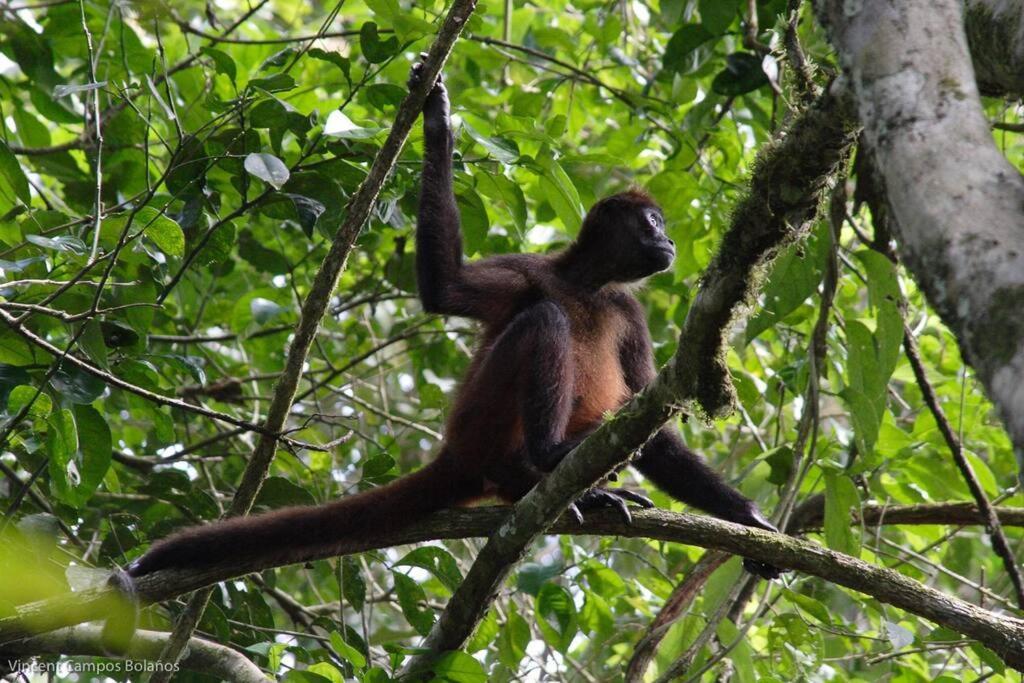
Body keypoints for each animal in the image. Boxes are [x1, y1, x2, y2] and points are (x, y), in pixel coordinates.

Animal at [125, 57, 782, 581]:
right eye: (653, 223)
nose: (667, 242)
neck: (586, 284)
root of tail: (455, 455)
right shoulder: (527, 270)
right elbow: (447, 289)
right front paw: (437, 121)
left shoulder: (629, 310)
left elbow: (654, 420)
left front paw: (750, 520)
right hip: (480, 421)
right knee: (542, 321)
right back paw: (545, 460)